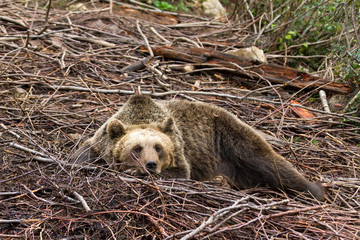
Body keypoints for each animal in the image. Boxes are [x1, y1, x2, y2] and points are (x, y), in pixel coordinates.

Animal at [73, 94, 324, 200]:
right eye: (136, 148)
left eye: (158, 147)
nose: (150, 164)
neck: (141, 115)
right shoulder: (99, 142)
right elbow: (82, 156)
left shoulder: (180, 150)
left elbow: (180, 173)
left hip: (231, 139)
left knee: (273, 165)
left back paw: (315, 190)